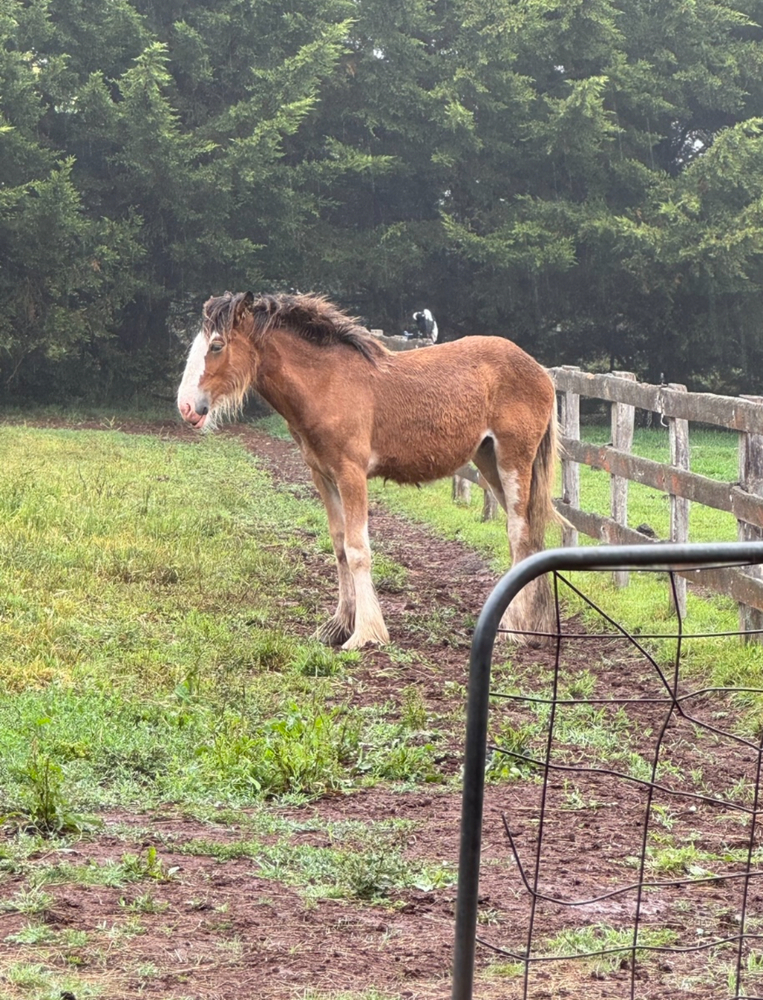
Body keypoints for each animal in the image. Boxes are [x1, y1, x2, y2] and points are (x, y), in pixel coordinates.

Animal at [177, 291, 563, 650]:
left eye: (217, 345)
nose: (186, 407)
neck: (327, 382)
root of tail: (541, 372)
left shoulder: (351, 474)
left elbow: (358, 549)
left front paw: (365, 633)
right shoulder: (323, 475)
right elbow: (339, 546)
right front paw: (338, 626)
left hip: (513, 460)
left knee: (518, 532)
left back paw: (512, 629)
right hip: (488, 460)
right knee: (526, 535)